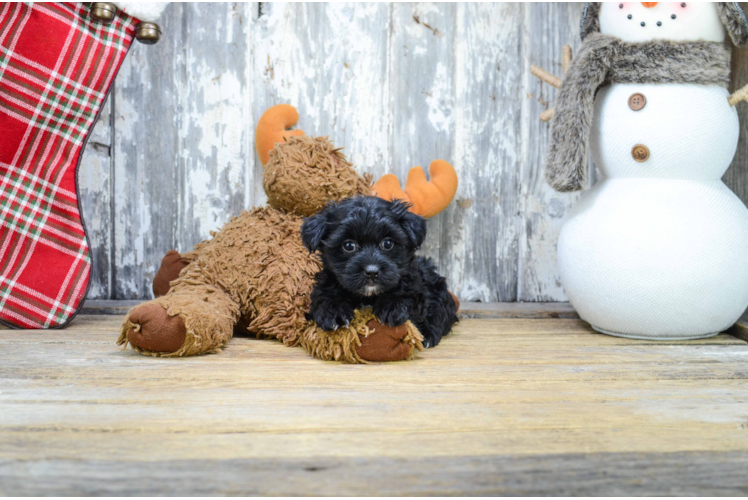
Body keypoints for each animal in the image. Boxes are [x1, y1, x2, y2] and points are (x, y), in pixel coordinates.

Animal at [300, 195, 458, 348]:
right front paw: (333, 311)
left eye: (387, 243)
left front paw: (393, 306)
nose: (372, 271)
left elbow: (406, 290)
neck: (368, 296)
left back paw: (427, 335)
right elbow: (326, 295)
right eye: (349, 245)